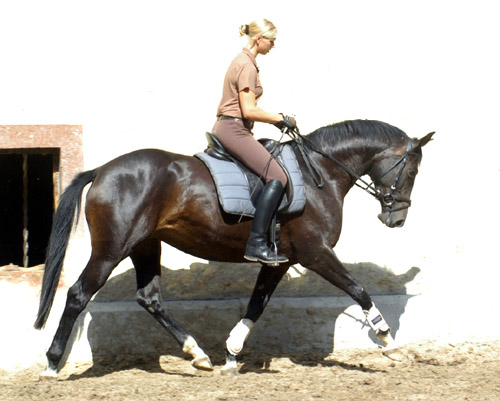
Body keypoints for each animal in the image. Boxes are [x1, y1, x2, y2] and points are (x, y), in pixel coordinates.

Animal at [34, 119, 434, 376]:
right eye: (413, 171)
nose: (395, 219)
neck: (318, 174)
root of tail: (101, 170)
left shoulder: (279, 261)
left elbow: (256, 305)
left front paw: (231, 352)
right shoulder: (315, 253)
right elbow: (358, 289)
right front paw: (388, 341)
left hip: (146, 246)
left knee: (150, 299)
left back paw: (198, 355)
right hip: (111, 249)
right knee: (78, 293)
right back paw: (53, 363)